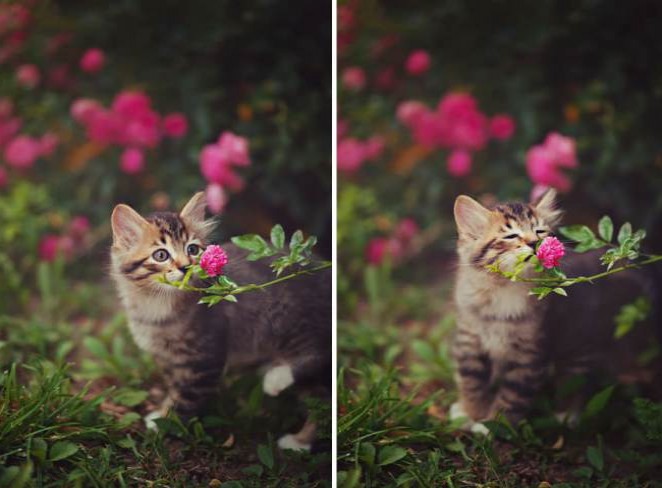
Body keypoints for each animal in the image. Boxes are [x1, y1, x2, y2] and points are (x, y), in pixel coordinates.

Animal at [112, 191, 338, 450]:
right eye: (161, 255)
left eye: (192, 249)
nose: (186, 266)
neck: (156, 305)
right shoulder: (169, 360)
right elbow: (174, 389)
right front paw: (162, 413)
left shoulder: (203, 360)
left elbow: (186, 400)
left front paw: (168, 425)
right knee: (322, 399)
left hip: (291, 320)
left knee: (317, 356)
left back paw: (280, 389)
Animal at [448, 189, 660, 432]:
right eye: (511, 236)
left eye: (539, 232)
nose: (534, 243)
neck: (505, 289)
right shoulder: (469, 341)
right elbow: (471, 381)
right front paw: (469, 413)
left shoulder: (530, 353)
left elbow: (512, 396)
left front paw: (494, 425)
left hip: (578, 341)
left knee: (576, 377)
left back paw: (566, 413)